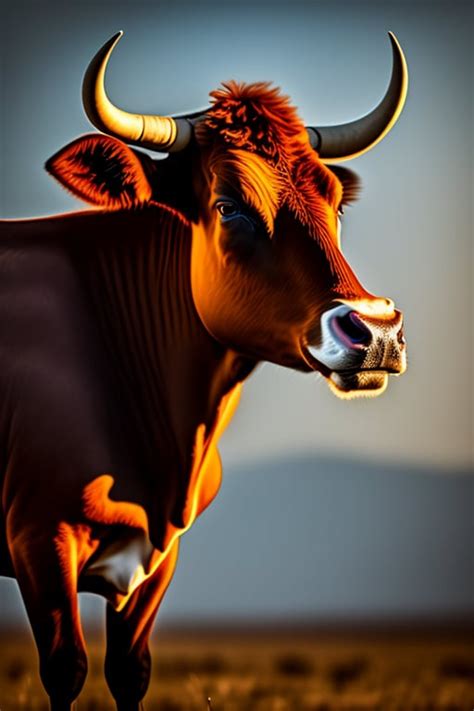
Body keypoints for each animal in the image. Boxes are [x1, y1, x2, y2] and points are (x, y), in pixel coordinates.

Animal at [0, 31, 408, 711]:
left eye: (333, 202)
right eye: (229, 205)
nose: (375, 331)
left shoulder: (158, 557)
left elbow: (128, 672)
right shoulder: (39, 537)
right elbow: (65, 668)